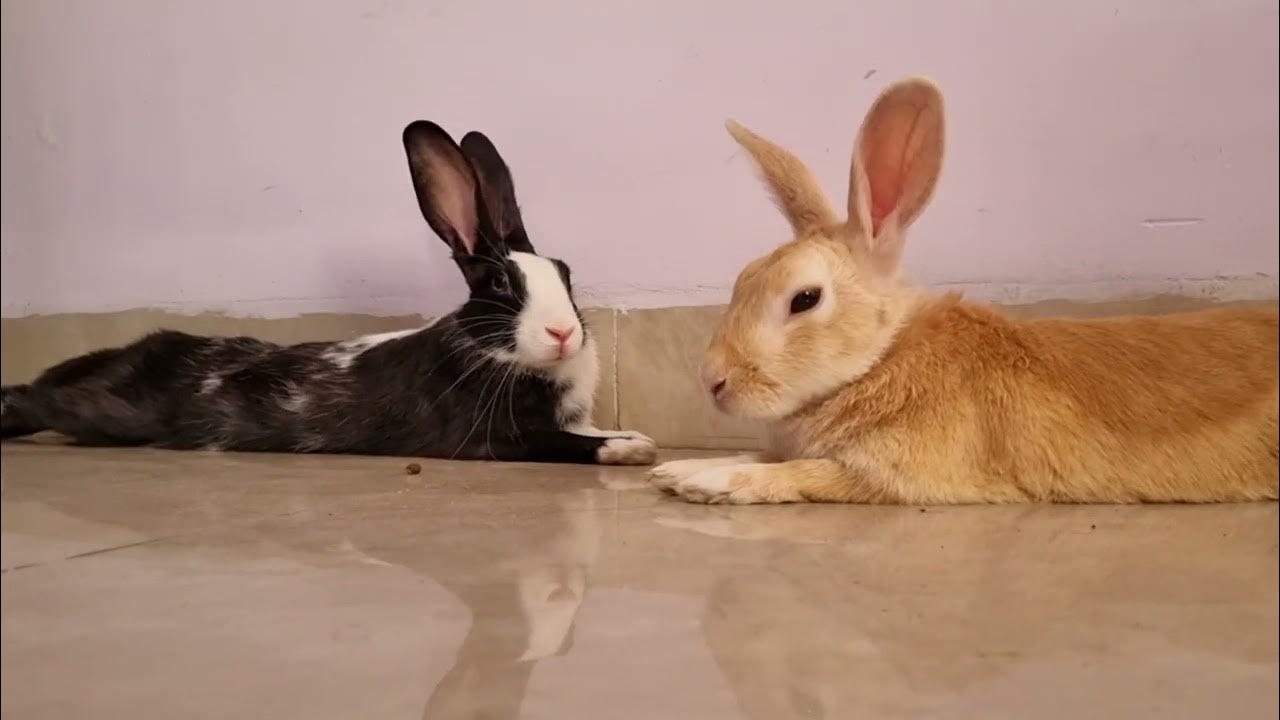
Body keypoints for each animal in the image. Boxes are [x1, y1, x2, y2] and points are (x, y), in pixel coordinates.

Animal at [0, 121, 657, 465]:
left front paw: (635, 436)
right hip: (103, 408)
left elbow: (585, 430)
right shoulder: (496, 438)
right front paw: (632, 450)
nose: (563, 333)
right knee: (36, 400)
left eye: (565, 272)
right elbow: (566, 444)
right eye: (499, 284)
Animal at [650, 77, 1278, 504]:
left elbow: (794, 473)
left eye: (805, 299)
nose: (713, 381)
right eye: (742, 279)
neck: (882, 357)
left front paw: (708, 477)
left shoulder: (888, 474)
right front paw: (676, 470)